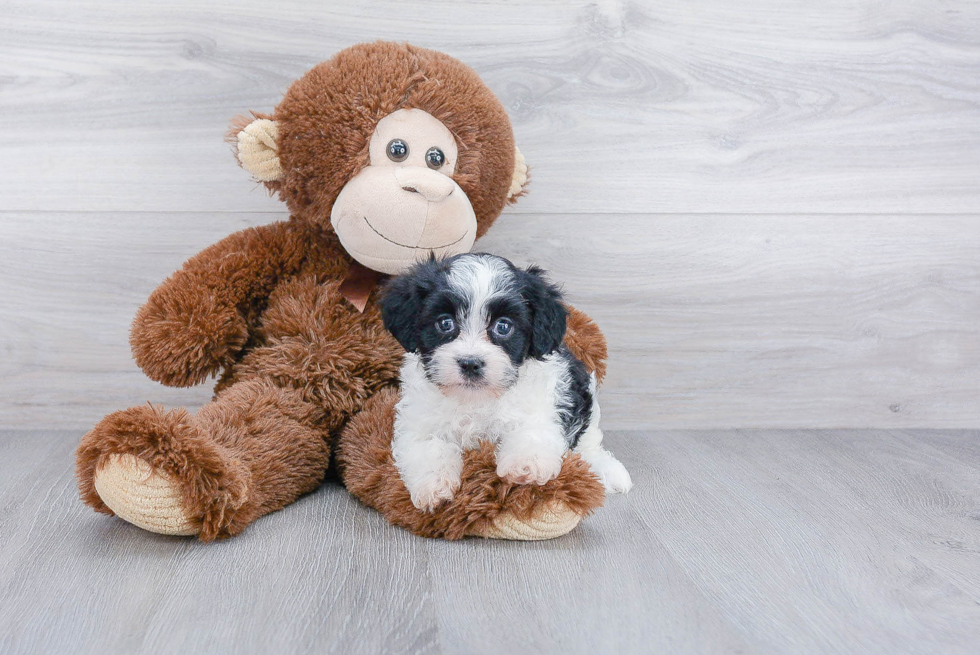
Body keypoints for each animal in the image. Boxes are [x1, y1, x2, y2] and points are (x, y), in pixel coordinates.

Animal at [378, 251, 632, 512]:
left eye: (503, 326)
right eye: (445, 323)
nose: (470, 363)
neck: (476, 398)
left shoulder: (541, 408)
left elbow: (531, 432)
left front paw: (526, 465)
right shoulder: (419, 421)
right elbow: (427, 446)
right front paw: (433, 486)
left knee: (588, 443)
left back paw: (608, 471)